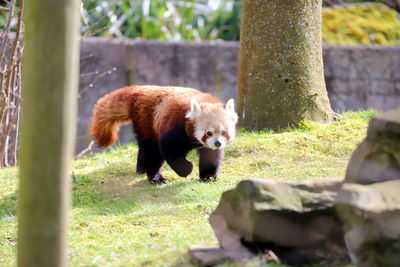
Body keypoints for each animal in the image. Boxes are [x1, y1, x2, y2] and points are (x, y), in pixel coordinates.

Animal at [90, 86, 238, 184]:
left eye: (224, 132)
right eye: (209, 132)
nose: (218, 143)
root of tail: (142, 91)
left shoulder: (207, 145)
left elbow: (211, 156)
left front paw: (208, 176)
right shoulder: (177, 127)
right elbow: (169, 149)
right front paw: (186, 169)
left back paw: (141, 170)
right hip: (148, 122)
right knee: (151, 151)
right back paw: (156, 178)